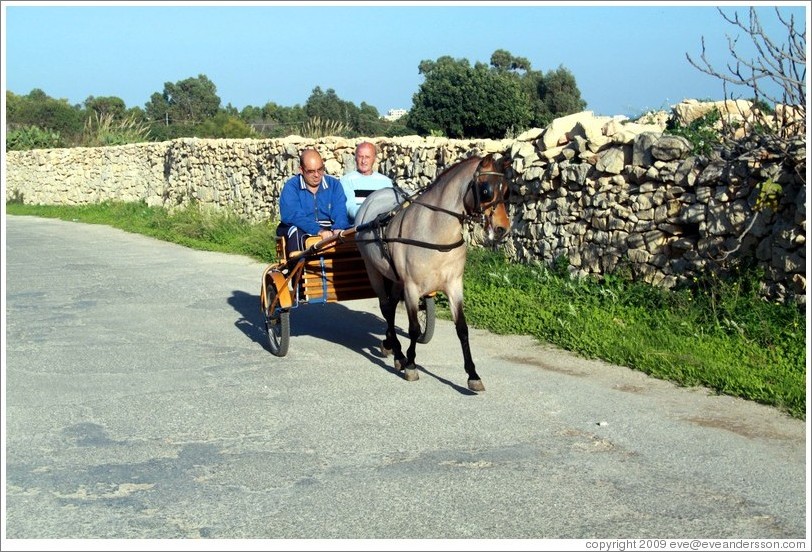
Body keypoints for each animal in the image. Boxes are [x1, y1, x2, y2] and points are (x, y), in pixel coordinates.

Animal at [354, 153, 510, 390]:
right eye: (486, 190)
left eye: (506, 190)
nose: (503, 229)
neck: (434, 233)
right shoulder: (411, 287)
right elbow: (414, 329)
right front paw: (411, 365)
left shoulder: (454, 285)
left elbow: (462, 329)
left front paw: (473, 374)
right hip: (373, 271)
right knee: (386, 308)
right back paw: (399, 354)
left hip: (396, 278)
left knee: (391, 306)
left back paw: (390, 344)